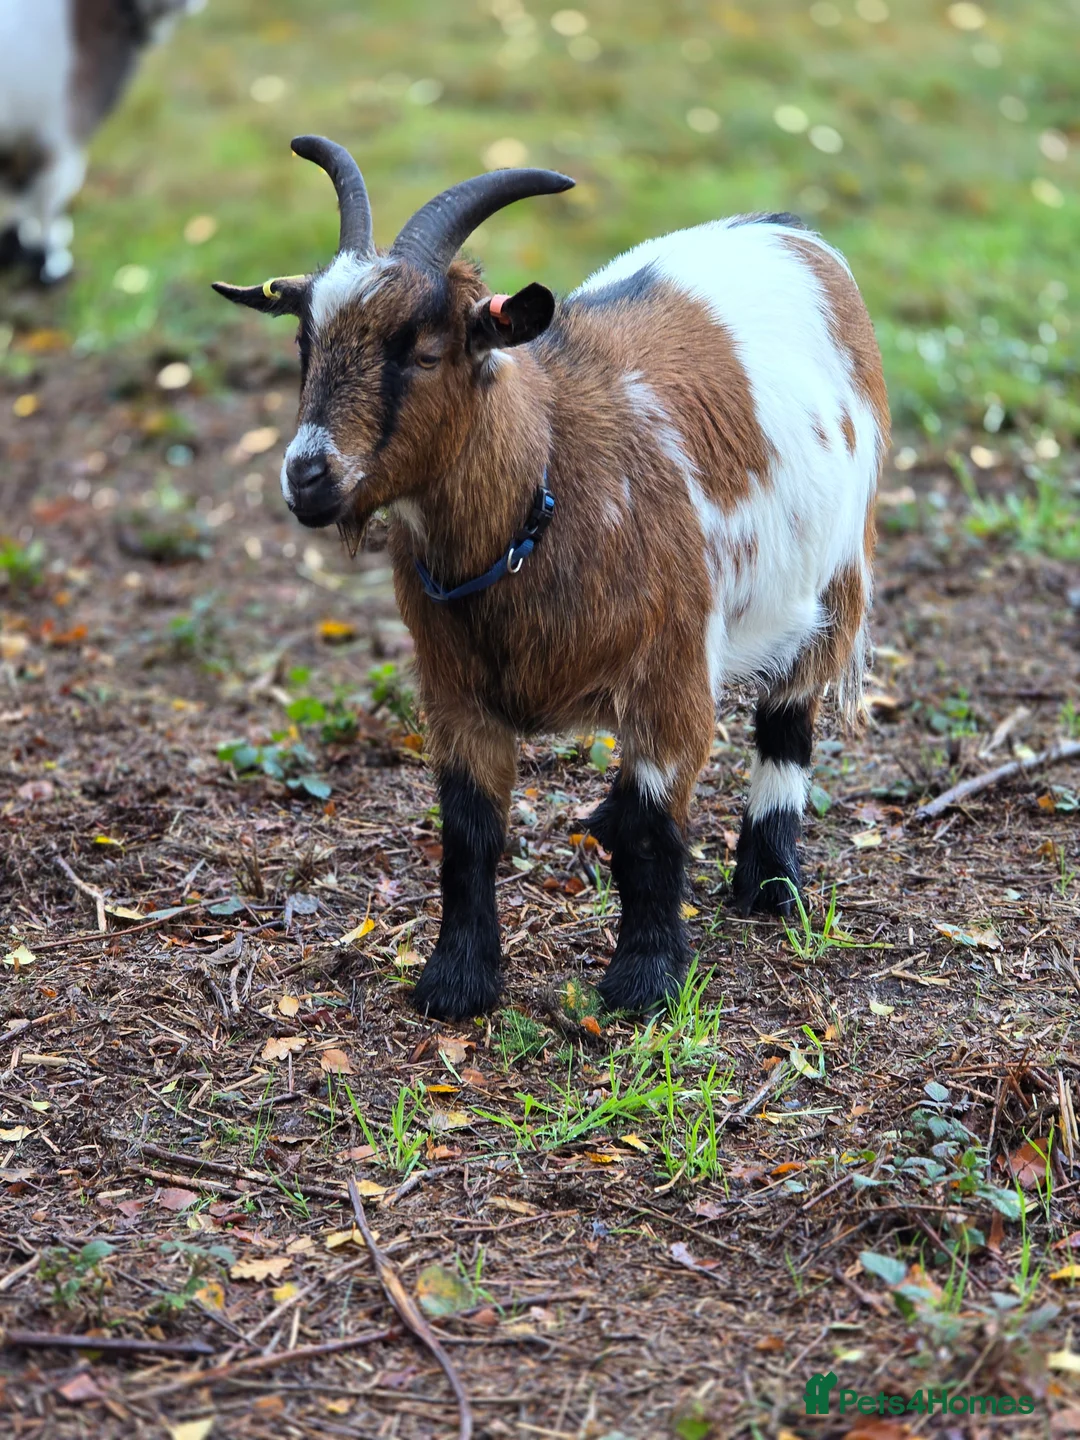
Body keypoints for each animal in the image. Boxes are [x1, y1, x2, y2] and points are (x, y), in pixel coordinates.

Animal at [0, 0, 203, 285]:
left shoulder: (19, 136)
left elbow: (17, 193)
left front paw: (17, 246)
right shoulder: (62, 132)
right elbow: (47, 200)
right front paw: (51, 262)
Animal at [215, 136, 889, 1021]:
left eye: (426, 351)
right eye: (305, 343)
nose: (307, 477)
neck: (549, 473)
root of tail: (789, 231)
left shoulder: (672, 672)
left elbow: (652, 827)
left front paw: (645, 979)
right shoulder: (454, 688)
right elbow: (468, 832)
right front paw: (458, 980)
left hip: (836, 575)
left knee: (788, 718)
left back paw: (771, 885)